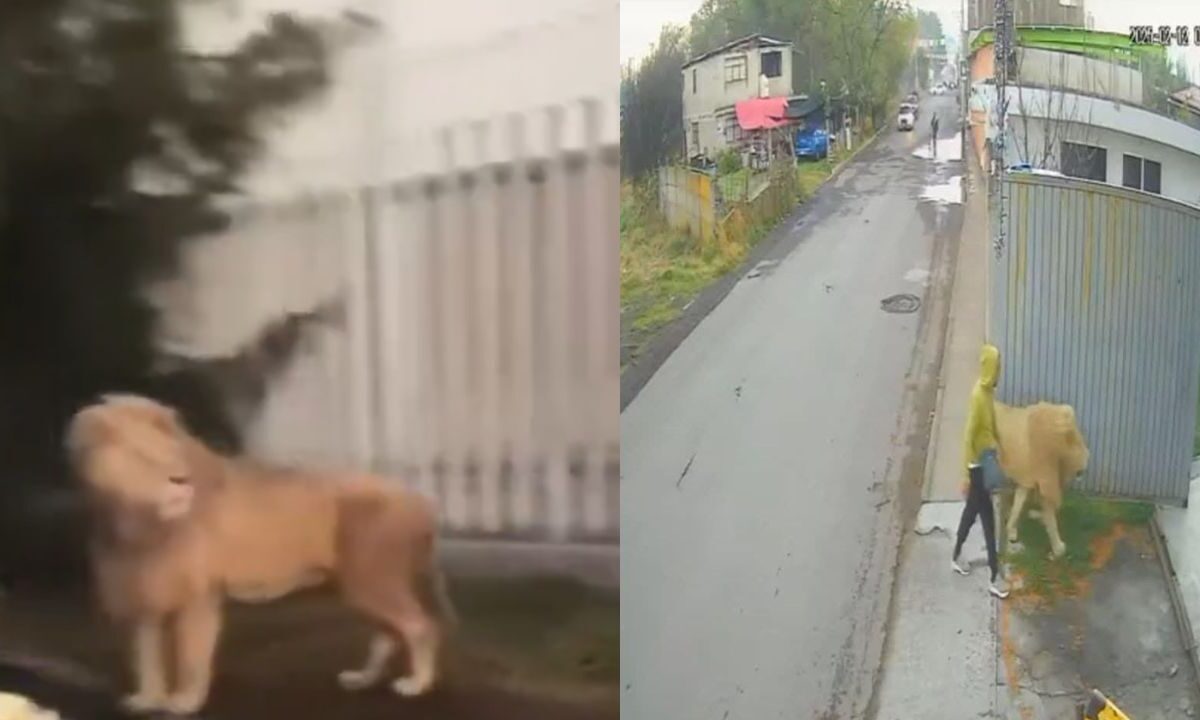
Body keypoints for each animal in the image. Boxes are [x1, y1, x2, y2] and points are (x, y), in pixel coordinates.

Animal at [64, 393, 453, 715]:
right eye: (143, 456)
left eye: (173, 453)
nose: (180, 480)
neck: (135, 523)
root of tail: (421, 501)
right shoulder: (143, 594)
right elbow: (145, 657)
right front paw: (147, 699)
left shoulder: (198, 597)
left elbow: (190, 655)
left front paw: (185, 701)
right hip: (360, 586)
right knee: (389, 634)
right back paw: (363, 678)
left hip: (373, 579)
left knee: (421, 627)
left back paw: (417, 685)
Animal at [988, 398, 1094, 556]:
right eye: (1075, 440)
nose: (1087, 458)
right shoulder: (1045, 473)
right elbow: (1049, 510)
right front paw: (1058, 548)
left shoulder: (1028, 475)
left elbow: (1019, 502)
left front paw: (1013, 530)